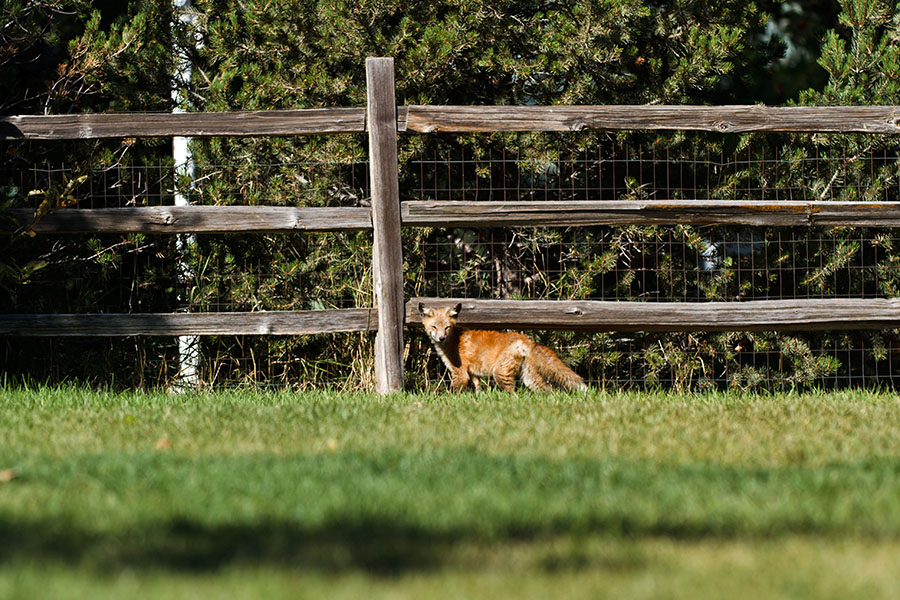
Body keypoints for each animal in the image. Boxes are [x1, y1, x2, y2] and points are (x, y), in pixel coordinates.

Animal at [418, 300, 588, 394]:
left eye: (447, 327)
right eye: (434, 327)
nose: (441, 338)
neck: (453, 340)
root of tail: (525, 339)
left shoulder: (460, 373)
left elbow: (453, 393)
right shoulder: (472, 374)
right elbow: (478, 389)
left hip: (500, 373)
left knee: (512, 394)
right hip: (529, 377)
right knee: (547, 389)